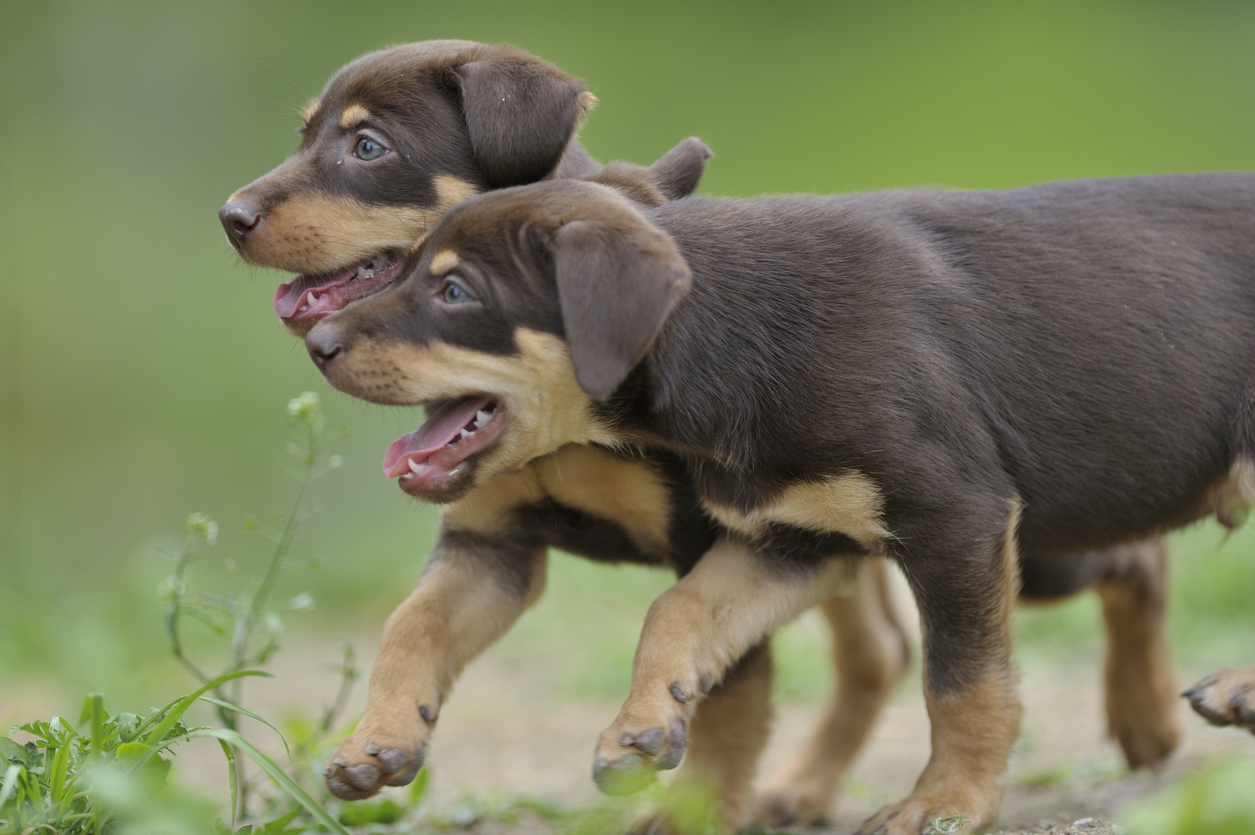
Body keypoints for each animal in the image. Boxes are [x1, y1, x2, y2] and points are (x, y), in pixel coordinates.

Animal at [308, 172, 1255, 828]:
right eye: (402, 266)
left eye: (455, 290)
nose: (316, 339)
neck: (742, 331)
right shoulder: (794, 534)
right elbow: (681, 614)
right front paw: (641, 729)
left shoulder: (956, 517)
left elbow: (962, 683)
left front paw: (946, 804)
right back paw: (1154, 721)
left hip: (1058, 518)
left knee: (1133, 558)